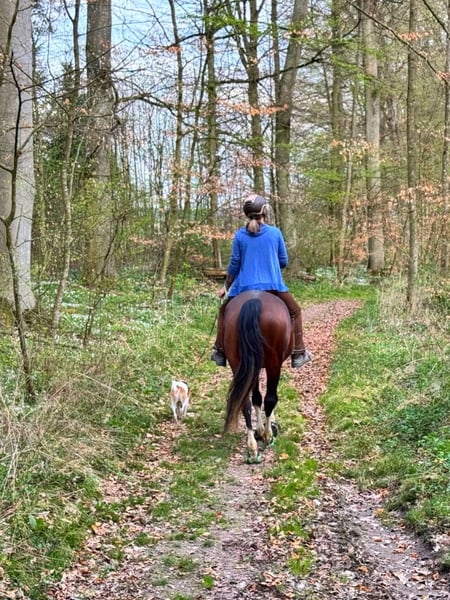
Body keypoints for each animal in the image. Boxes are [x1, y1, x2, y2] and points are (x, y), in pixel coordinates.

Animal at [222, 290, 293, 463]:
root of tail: (254, 301)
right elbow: (267, 399)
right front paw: (268, 427)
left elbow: (256, 398)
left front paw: (259, 430)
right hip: (274, 363)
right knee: (270, 399)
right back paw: (267, 436)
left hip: (239, 362)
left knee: (245, 402)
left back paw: (252, 447)